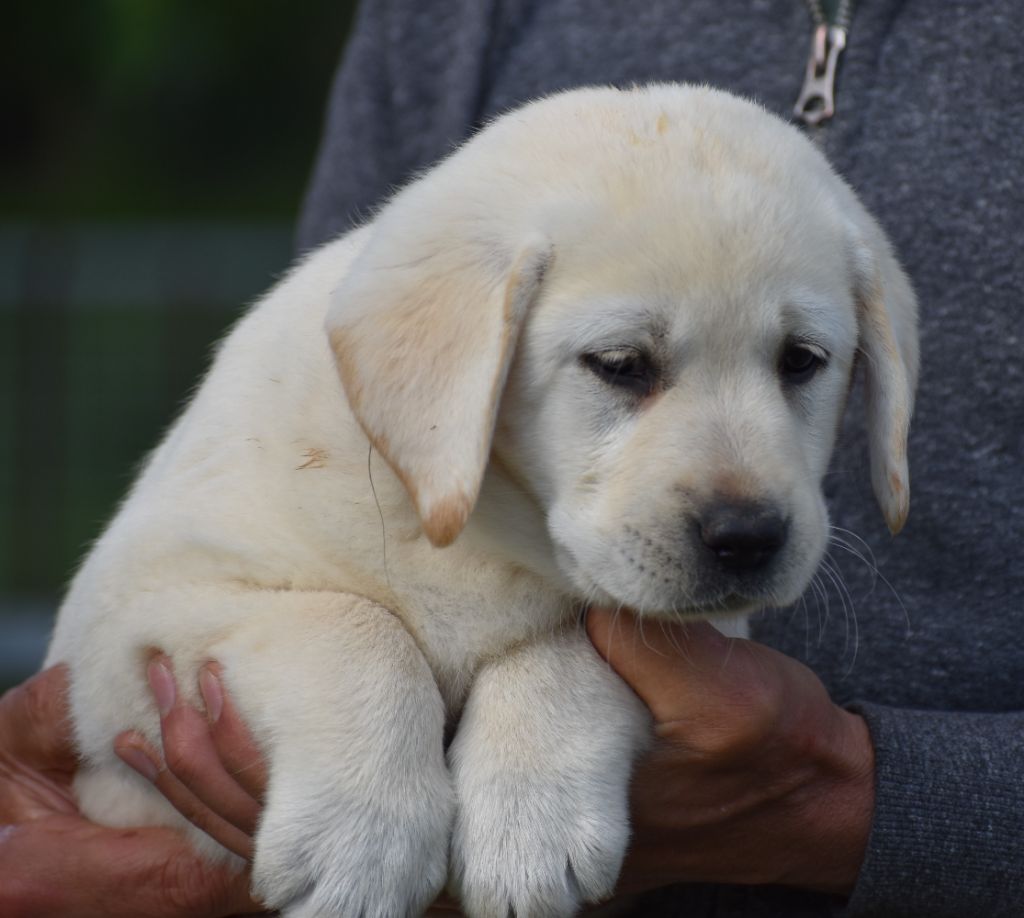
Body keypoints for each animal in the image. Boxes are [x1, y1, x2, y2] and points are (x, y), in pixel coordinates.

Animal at [44, 86, 917, 918]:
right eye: (620, 364)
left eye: (802, 361)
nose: (748, 537)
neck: (478, 532)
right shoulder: (133, 625)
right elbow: (349, 624)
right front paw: (360, 840)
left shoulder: (694, 628)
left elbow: (571, 642)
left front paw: (534, 823)